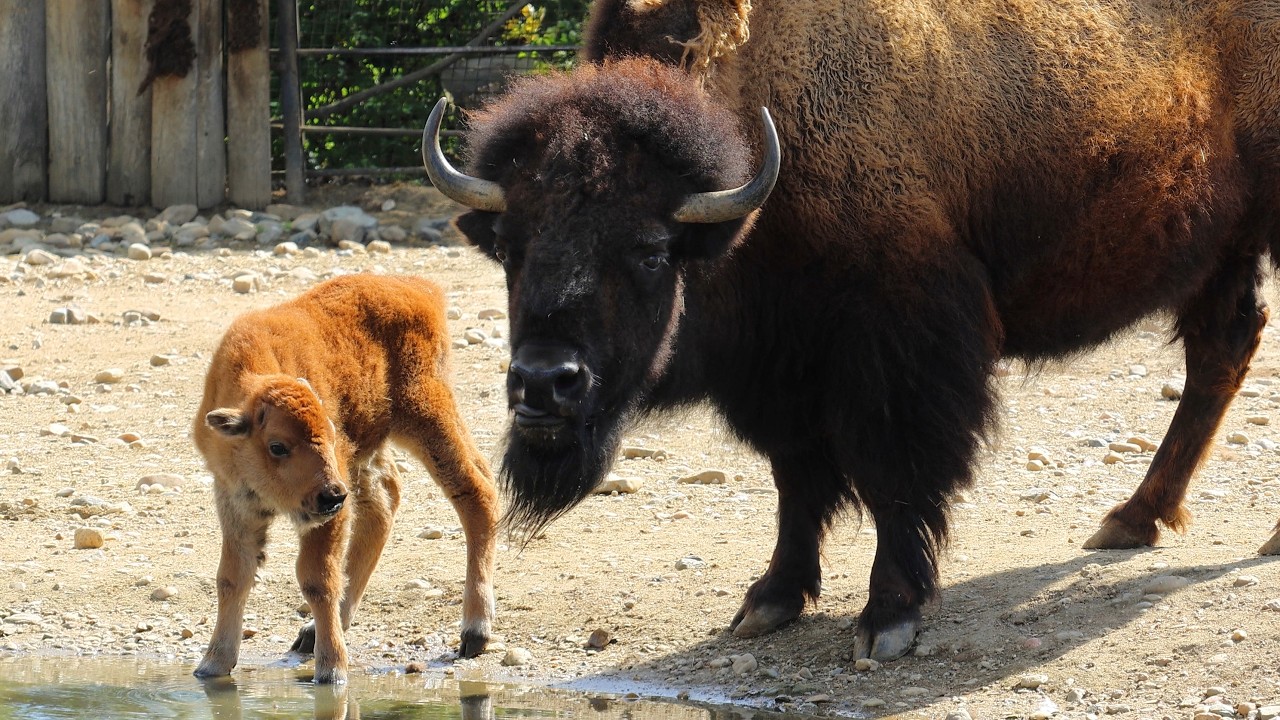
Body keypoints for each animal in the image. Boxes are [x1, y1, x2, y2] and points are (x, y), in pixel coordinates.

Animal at [425, 0, 1280, 660]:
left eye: (649, 250)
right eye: (511, 246)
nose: (543, 386)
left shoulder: (897, 346)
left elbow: (894, 475)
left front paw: (888, 618)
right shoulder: (779, 370)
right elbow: (796, 480)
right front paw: (769, 601)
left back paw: (1252, 537)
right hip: (1222, 251)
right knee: (1222, 354)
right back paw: (1131, 520)